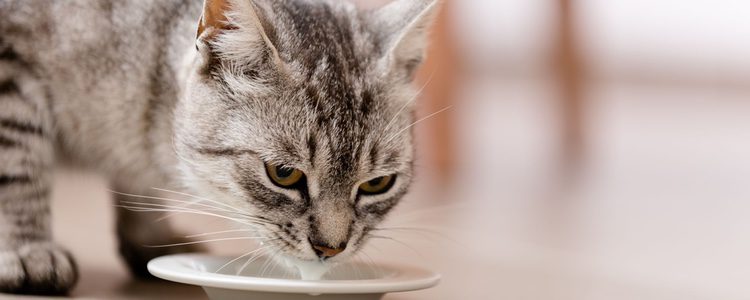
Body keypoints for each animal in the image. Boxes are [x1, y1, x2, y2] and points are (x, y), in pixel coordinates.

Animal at [0, 0, 440, 296]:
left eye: (377, 184)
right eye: (284, 174)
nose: (329, 249)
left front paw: (149, 237)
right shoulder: (13, 63)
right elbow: (19, 167)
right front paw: (26, 248)